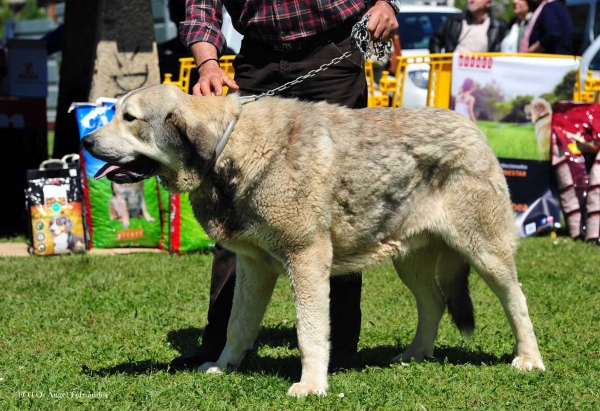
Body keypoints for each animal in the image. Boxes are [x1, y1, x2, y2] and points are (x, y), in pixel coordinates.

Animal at [82, 85, 548, 398]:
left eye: (129, 118)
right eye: (113, 112)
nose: (85, 140)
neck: (229, 147)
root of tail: (473, 127)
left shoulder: (306, 259)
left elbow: (310, 331)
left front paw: (311, 385)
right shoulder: (253, 267)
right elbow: (237, 324)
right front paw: (223, 366)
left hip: (485, 251)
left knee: (517, 301)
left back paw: (529, 360)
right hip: (408, 258)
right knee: (432, 301)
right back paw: (416, 354)